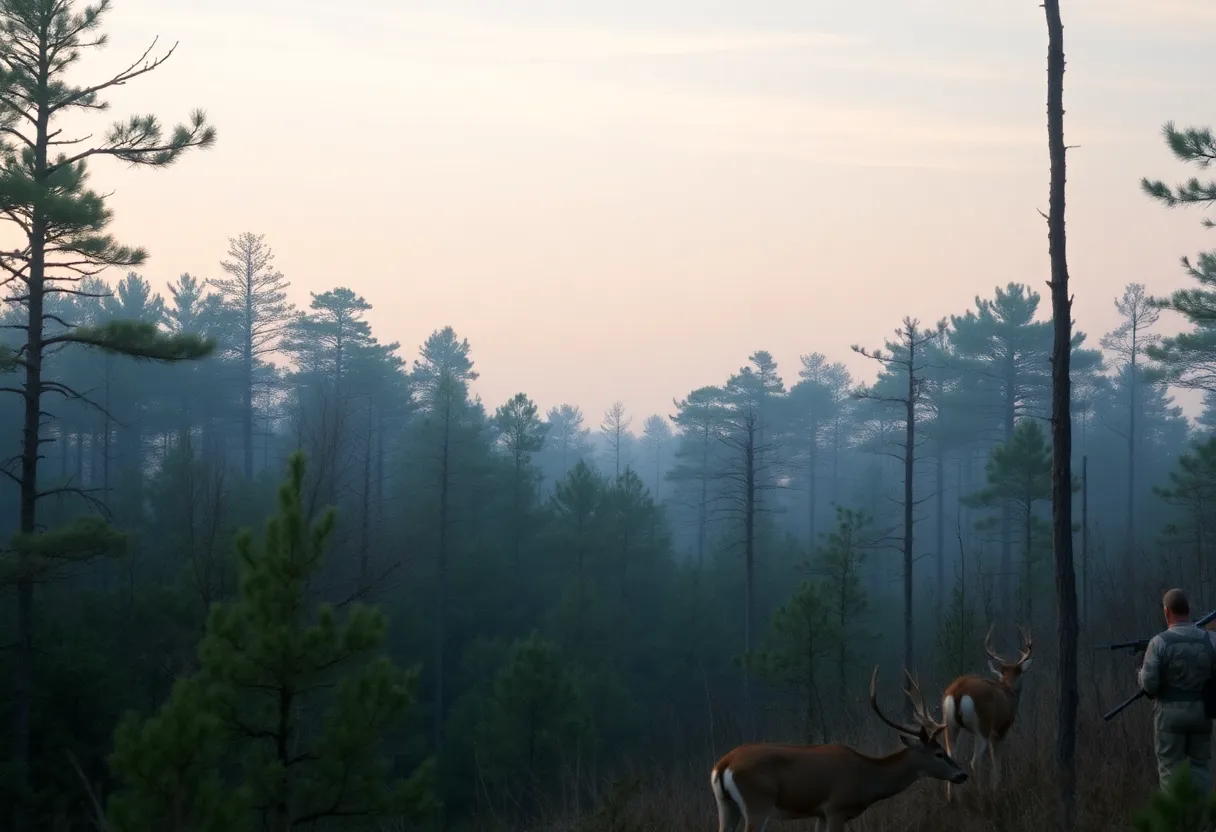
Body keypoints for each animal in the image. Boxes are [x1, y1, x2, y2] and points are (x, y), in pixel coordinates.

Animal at [710, 667, 967, 832]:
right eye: (939, 754)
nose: (962, 774)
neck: (867, 776)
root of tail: (723, 765)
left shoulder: (820, 814)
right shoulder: (836, 808)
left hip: (726, 806)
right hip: (758, 803)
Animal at [940, 624, 1034, 802]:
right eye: (1020, 673)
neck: (1008, 693)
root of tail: (957, 690)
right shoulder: (1000, 729)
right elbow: (996, 757)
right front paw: (996, 788)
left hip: (951, 724)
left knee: (952, 756)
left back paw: (953, 800)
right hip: (982, 726)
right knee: (974, 761)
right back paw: (981, 795)